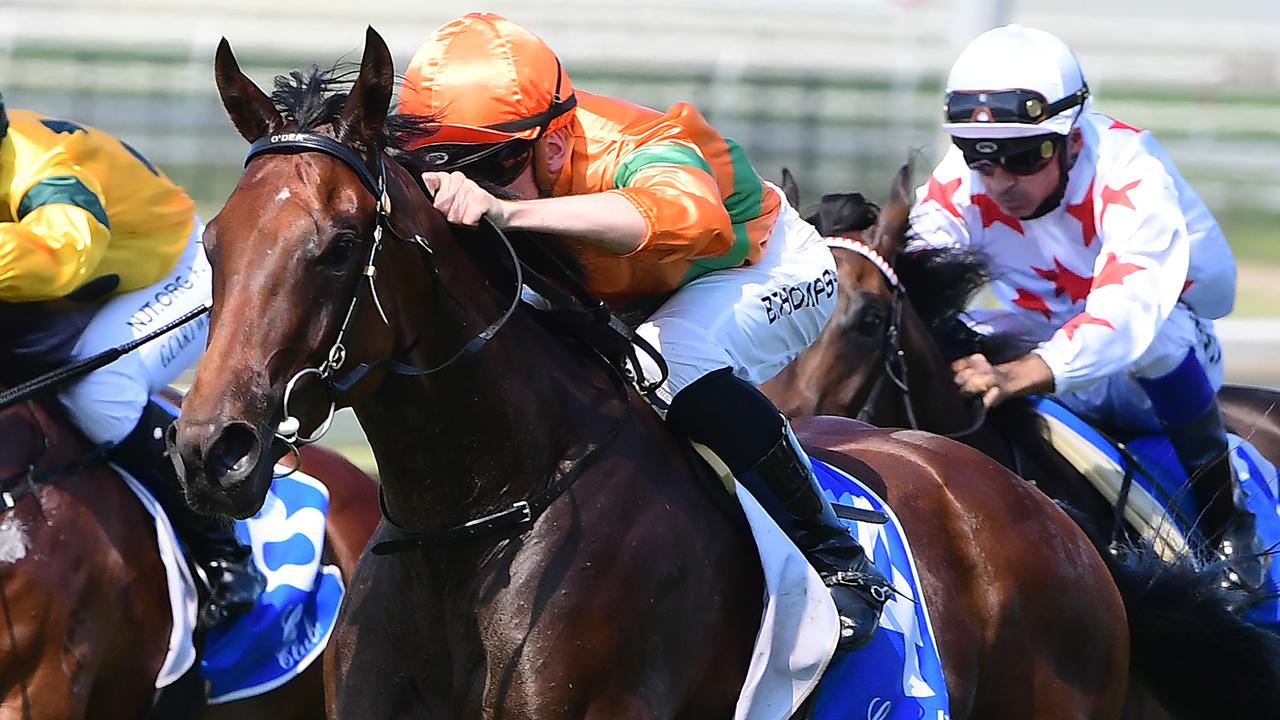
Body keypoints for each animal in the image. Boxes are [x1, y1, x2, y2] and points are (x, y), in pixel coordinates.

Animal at [167, 26, 1141, 712]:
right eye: (213, 244)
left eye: (337, 247)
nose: (213, 448)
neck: (478, 521)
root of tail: (1047, 516)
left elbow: (667, 207)